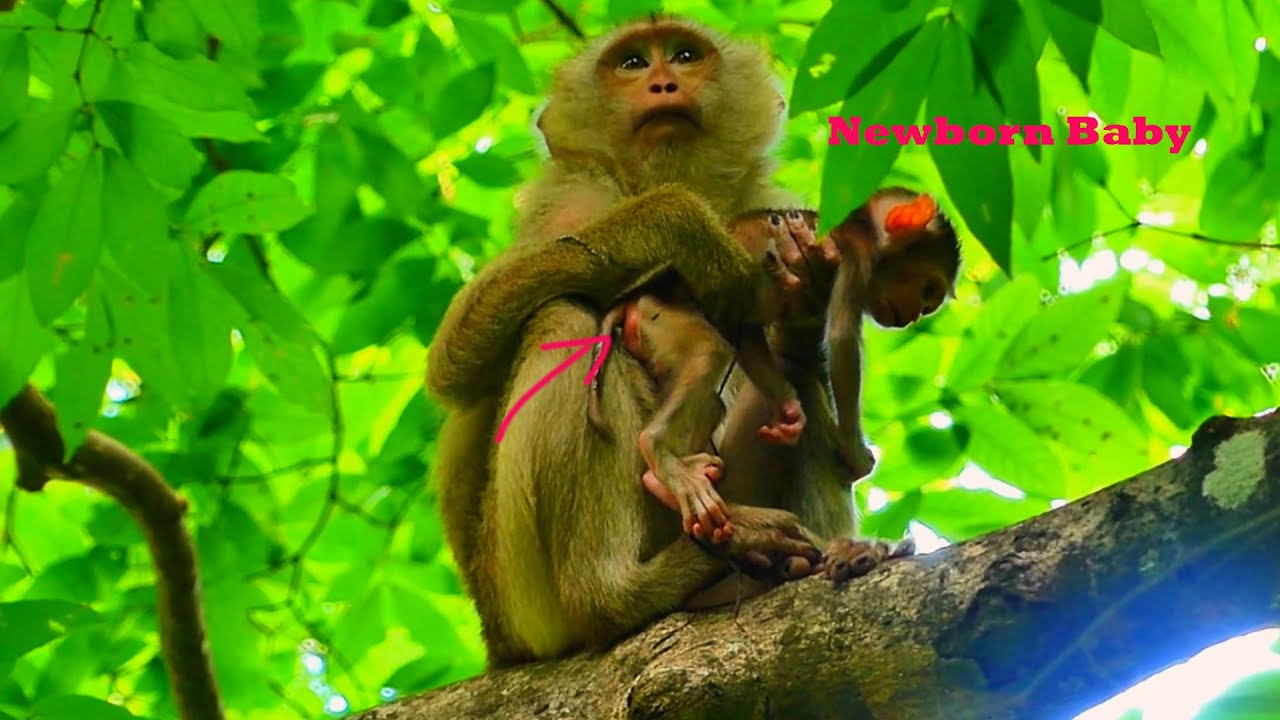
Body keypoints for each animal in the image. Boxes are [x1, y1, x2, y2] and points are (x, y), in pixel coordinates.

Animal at [424, 16, 953, 668]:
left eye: (684, 55)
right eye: (631, 63)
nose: (662, 81)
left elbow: (789, 351)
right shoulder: (574, 200)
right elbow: (453, 362)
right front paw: (681, 221)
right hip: (522, 597)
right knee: (564, 317)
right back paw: (617, 592)